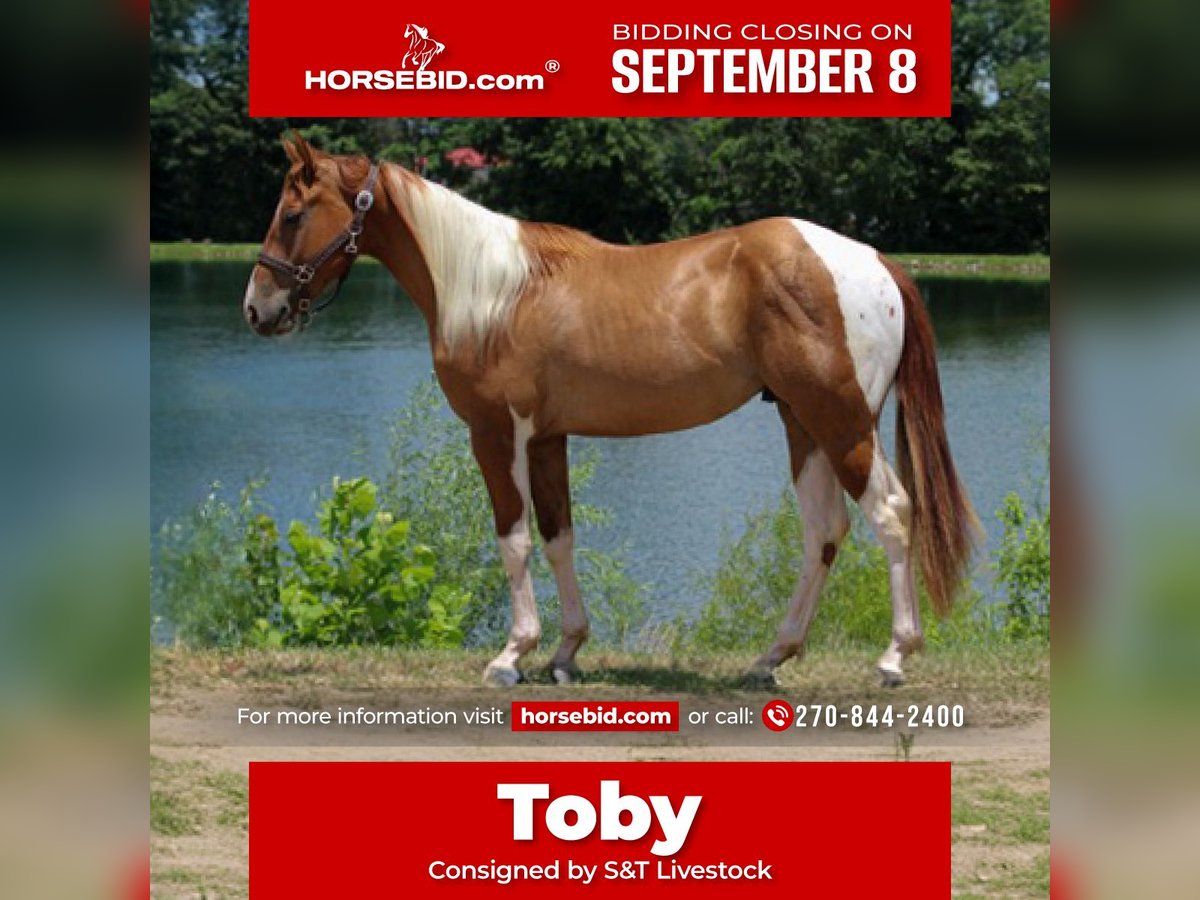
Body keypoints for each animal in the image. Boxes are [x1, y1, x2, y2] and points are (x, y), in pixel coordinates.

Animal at [244, 134, 979, 688]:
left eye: (291, 213)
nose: (258, 308)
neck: (491, 291)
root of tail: (876, 261)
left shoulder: (495, 434)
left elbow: (512, 538)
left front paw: (511, 654)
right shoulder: (548, 439)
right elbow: (557, 536)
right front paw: (566, 652)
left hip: (842, 422)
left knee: (891, 514)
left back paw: (893, 657)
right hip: (803, 423)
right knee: (824, 531)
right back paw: (770, 658)